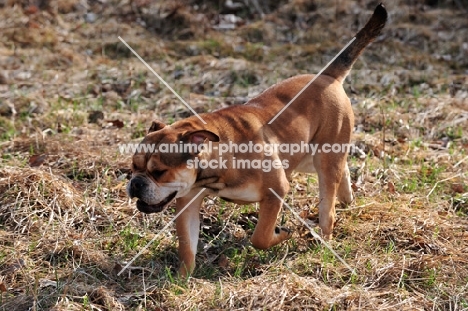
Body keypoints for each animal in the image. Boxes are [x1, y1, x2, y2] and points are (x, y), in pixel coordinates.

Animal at [128, 4, 388, 278]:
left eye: (159, 172)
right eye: (133, 167)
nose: (135, 183)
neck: (219, 161)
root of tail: (328, 76)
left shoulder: (276, 190)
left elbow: (260, 236)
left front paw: (282, 234)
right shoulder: (188, 201)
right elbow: (187, 244)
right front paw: (182, 277)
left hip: (324, 159)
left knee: (328, 205)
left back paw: (324, 239)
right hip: (308, 158)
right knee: (342, 168)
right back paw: (347, 198)